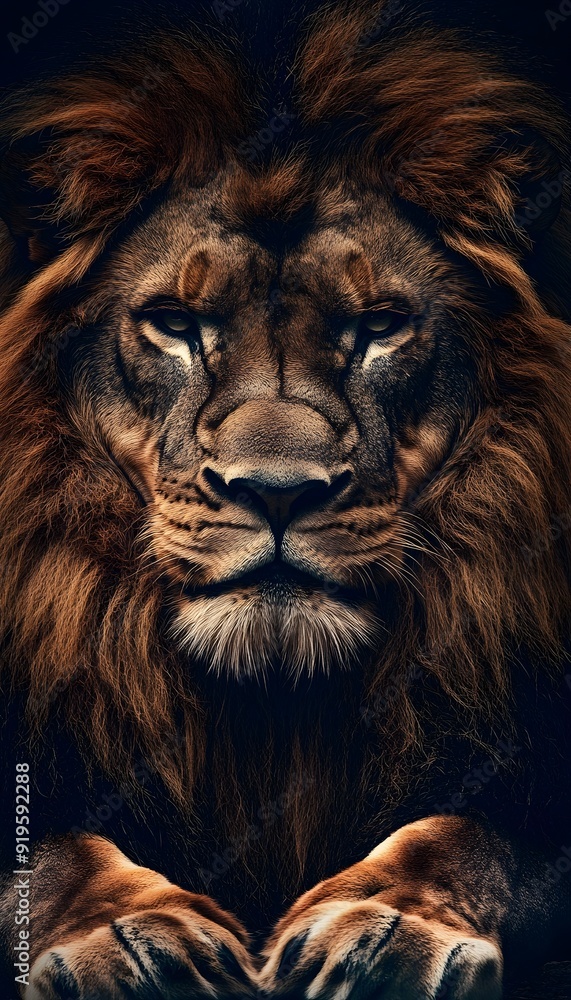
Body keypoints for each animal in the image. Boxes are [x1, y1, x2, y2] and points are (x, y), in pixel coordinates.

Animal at [0, 2, 571, 997]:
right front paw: (131, 937)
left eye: (378, 326)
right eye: (175, 323)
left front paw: (385, 924)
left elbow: (471, 835)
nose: (275, 492)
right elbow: (58, 850)